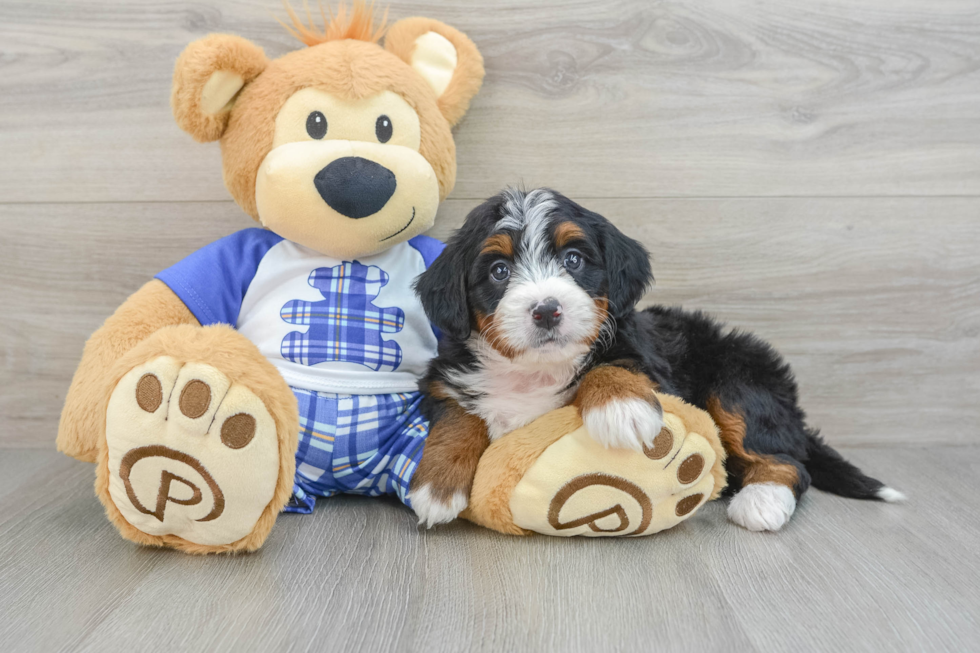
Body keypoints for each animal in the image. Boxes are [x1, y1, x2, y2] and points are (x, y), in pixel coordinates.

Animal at [408, 187, 904, 528]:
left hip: (738, 379)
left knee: (787, 460)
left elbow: (614, 364)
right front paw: (437, 485)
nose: (547, 310)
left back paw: (761, 501)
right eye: (498, 270)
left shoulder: (649, 362)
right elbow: (457, 416)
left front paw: (621, 409)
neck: (535, 371)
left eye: (573, 260)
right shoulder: (442, 378)